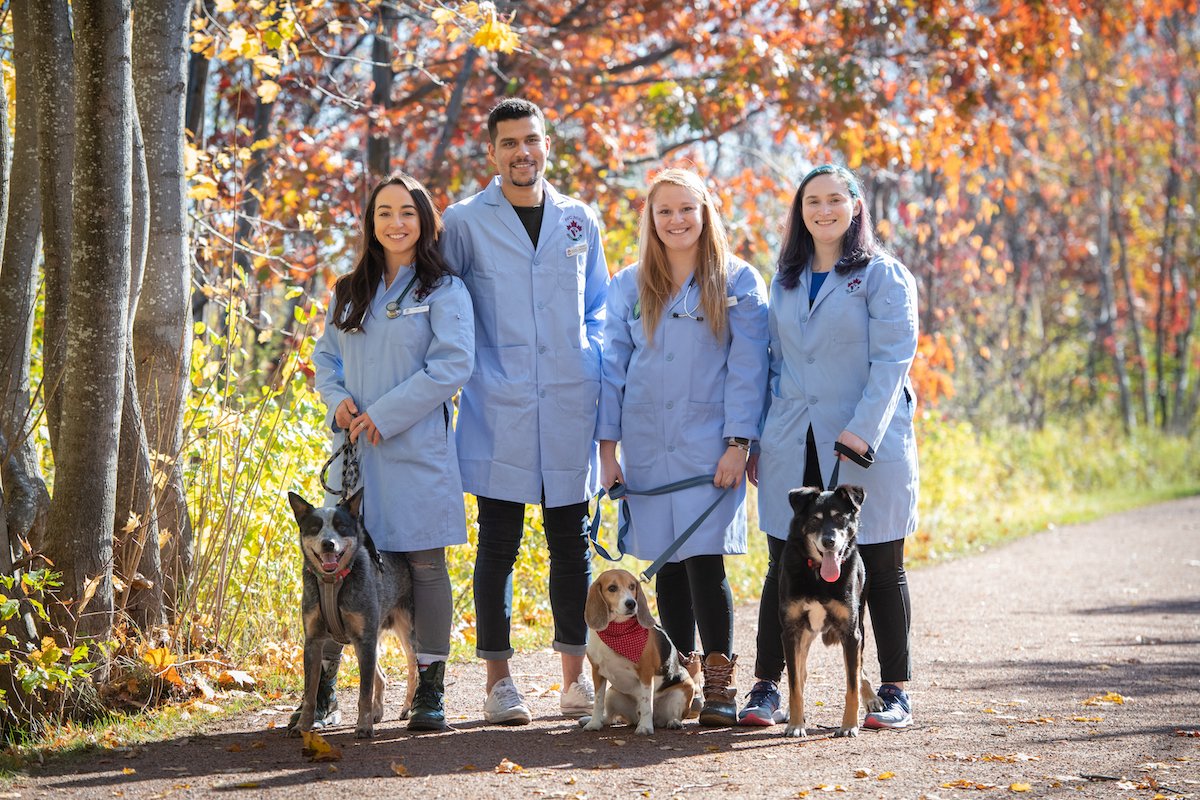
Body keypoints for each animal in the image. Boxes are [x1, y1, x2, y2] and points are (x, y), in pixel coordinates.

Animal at [288, 491, 420, 743]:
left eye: (341, 526)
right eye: (315, 527)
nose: (328, 543)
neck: (332, 583)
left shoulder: (364, 640)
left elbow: (364, 693)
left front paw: (364, 727)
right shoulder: (313, 641)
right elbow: (309, 693)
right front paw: (302, 726)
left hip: (406, 632)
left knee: (413, 669)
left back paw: (408, 708)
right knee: (382, 675)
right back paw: (378, 712)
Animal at [578, 568, 700, 738]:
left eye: (632, 586)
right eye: (612, 588)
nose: (631, 603)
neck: (617, 631)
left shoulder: (646, 673)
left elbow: (646, 704)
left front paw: (645, 728)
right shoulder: (597, 672)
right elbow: (597, 701)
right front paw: (594, 723)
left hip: (685, 689)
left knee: (672, 715)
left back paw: (673, 722)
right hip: (612, 693)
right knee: (609, 718)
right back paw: (596, 720)